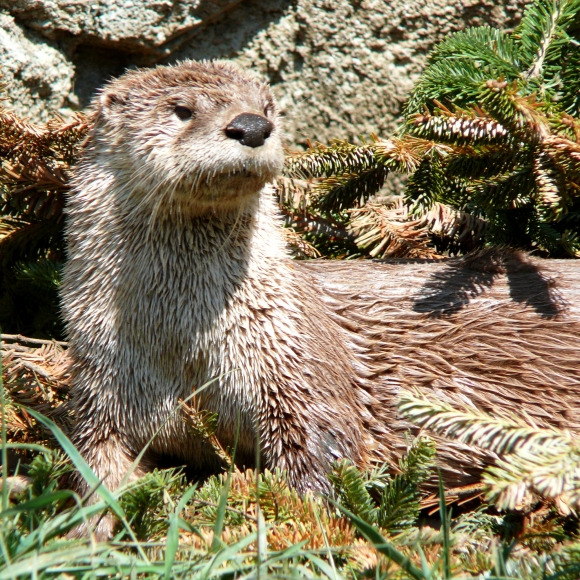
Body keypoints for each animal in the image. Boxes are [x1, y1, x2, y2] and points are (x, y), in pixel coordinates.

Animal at [62, 60, 580, 540]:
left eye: (267, 107)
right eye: (181, 110)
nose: (251, 126)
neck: (180, 346)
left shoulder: (294, 365)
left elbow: (322, 457)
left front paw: (302, 523)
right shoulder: (100, 385)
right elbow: (96, 467)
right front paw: (91, 533)